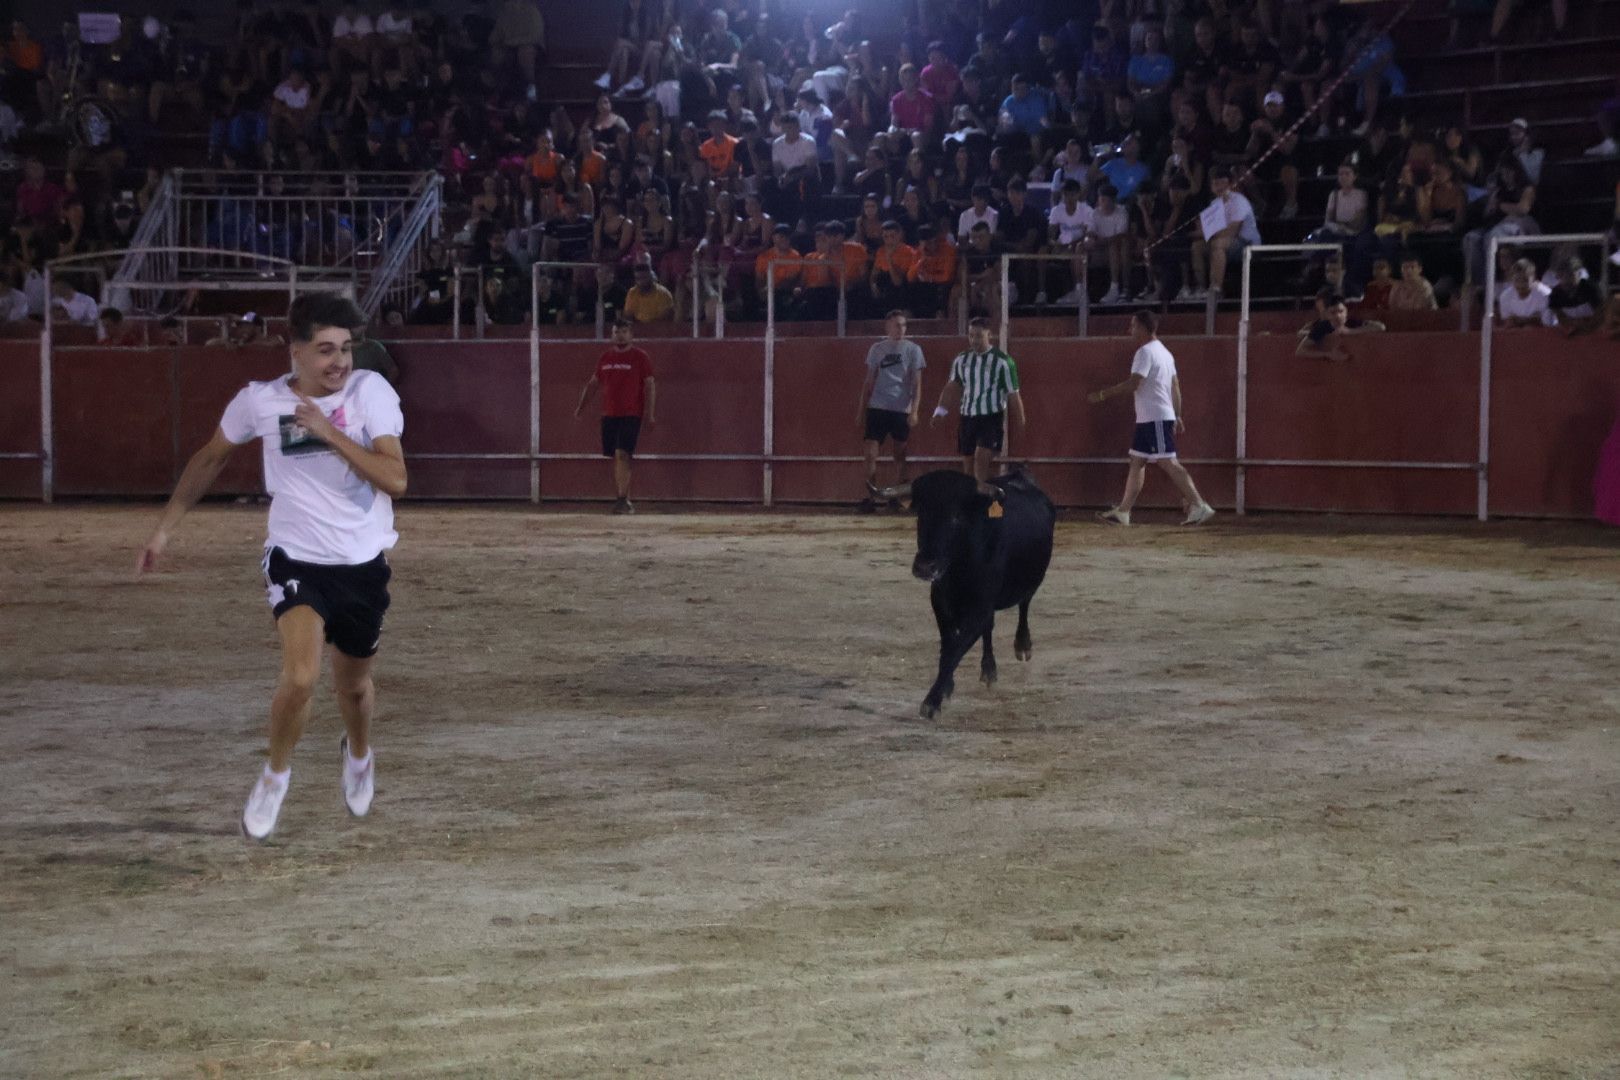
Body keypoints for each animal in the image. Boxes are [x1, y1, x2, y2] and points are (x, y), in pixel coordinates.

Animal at [881, 466, 1056, 712]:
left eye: (957, 516)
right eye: (920, 513)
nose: (925, 566)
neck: (961, 567)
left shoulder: (980, 607)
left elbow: (958, 646)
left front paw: (932, 702)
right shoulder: (940, 601)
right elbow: (948, 644)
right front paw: (946, 687)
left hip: (1032, 580)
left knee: (1024, 604)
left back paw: (1022, 646)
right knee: (989, 627)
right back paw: (989, 670)